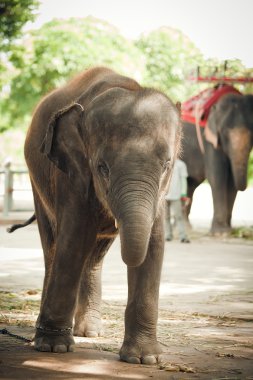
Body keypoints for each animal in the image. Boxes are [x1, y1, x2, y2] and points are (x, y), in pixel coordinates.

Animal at [23, 67, 182, 364]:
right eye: (102, 167)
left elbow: (154, 245)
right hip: (37, 184)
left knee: (94, 256)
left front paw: (144, 359)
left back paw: (90, 332)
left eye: (167, 165)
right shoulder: (71, 173)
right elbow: (75, 237)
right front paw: (53, 347)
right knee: (53, 247)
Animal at [182, 93, 253, 235]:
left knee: (190, 183)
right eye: (225, 132)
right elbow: (217, 177)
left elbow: (231, 182)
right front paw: (220, 233)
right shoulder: (210, 141)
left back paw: (187, 227)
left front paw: (229, 230)